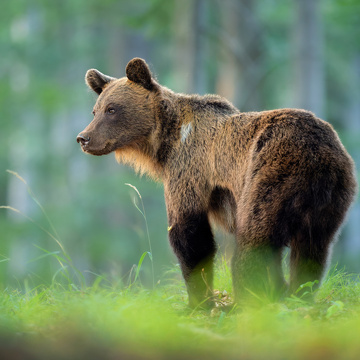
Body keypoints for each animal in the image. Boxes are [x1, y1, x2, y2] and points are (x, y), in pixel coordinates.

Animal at [76, 57, 358, 308]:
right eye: (95, 110)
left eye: (112, 109)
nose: (83, 138)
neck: (164, 141)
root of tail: (318, 152)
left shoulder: (190, 167)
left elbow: (189, 234)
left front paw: (198, 301)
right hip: (333, 195)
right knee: (313, 248)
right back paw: (297, 294)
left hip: (271, 171)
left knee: (256, 237)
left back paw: (251, 298)